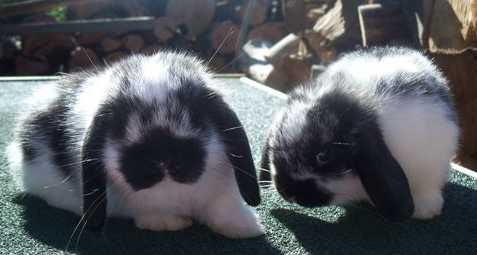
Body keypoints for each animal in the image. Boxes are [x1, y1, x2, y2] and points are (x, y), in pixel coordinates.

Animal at [5, 50, 262, 238]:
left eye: (196, 115)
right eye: (119, 124)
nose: (162, 158)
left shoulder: (223, 192)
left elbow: (225, 208)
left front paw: (247, 229)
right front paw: (173, 223)